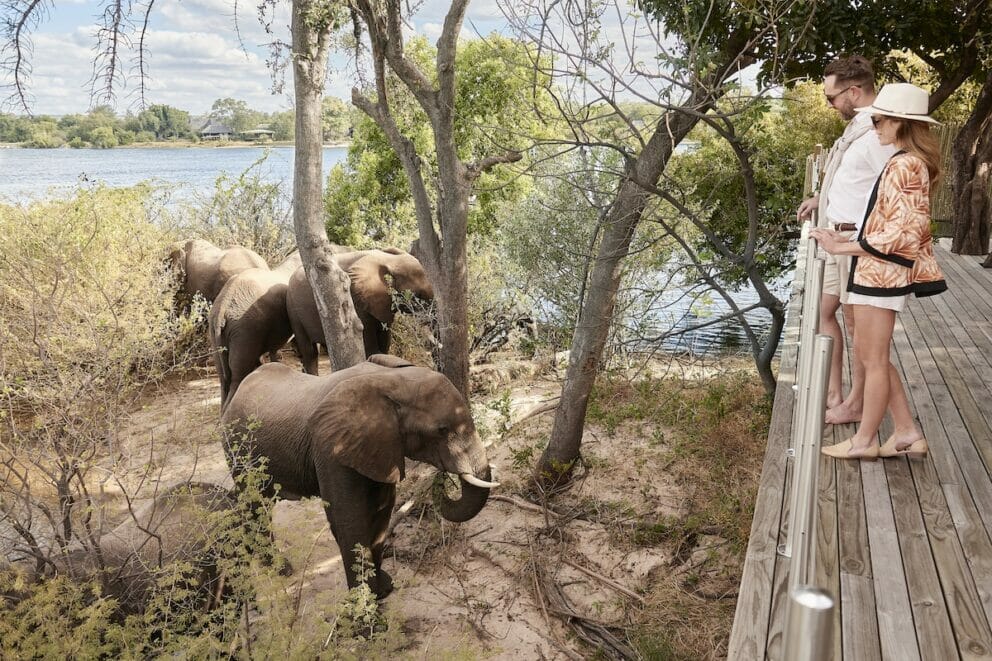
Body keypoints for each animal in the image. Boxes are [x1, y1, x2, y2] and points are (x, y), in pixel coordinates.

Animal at [220, 354, 498, 599]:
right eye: (442, 430)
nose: (442, 479)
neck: (393, 382)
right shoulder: (332, 449)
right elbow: (349, 520)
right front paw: (367, 614)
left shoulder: (380, 447)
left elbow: (381, 513)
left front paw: (383, 590)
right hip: (238, 448)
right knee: (257, 503)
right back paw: (281, 569)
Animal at [286, 248, 434, 374]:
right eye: (418, 296)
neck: (388, 260)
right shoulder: (354, 299)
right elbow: (372, 348)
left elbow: (384, 342)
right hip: (293, 309)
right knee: (309, 351)